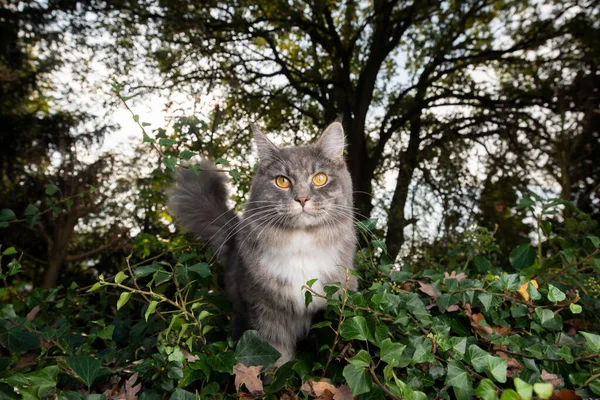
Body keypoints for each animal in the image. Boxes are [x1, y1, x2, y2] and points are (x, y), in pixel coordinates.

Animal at [169, 122, 356, 366]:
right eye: (282, 181)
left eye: (320, 179)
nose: (302, 199)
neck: (302, 246)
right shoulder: (265, 310)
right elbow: (276, 354)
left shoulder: (338, 300)